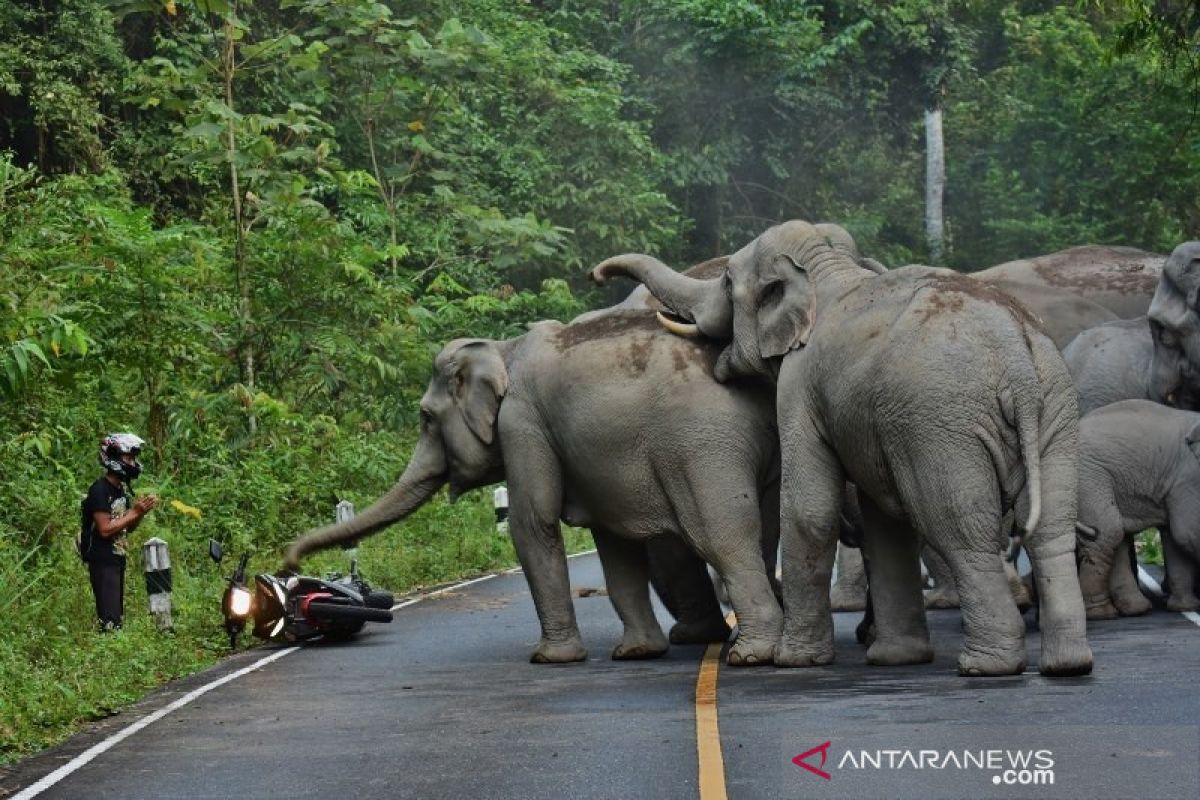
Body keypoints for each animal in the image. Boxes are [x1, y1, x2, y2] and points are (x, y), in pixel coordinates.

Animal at [285, 309, 782, 666]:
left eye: (425, 417)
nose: (289, 562)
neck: (501, 350)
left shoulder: (522, 423)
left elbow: (532, 523)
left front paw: (548, 659)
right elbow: (614, 545)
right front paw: (636, 652)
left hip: (702, 447)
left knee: (723, 538)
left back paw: (750, 655)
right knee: (767, 531)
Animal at [595, 221, 1094, 681]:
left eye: (727, 283)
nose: (597, 274)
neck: (824, 269)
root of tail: (1015, 354)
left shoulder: (799, 386)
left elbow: (809, 511)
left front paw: (793, 661)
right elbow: (882, 522)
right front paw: (894, 659)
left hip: (942, 424)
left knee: (960, 529)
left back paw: (986, 666)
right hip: (1055, 409)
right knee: (1050, 528)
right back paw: (1067, 664)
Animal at [1075, 400, 1200, 618]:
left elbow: (1174, 537)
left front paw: (1186, 607)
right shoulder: (1188, 478)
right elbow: (1188, 532)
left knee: (1115, 537)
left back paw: (1134, 609)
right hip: (1089, 478)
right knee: (1106, 533)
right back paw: (1102, 614)